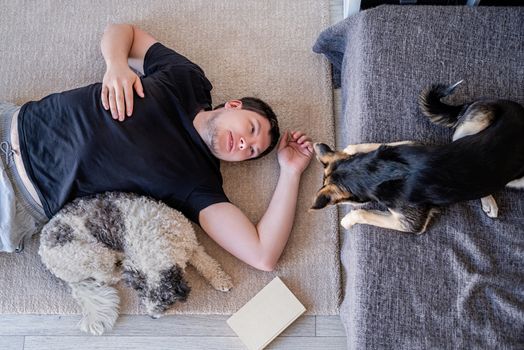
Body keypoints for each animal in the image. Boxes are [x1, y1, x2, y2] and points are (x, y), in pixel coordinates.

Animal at [37, 193, 232, 334]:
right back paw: (117, 272)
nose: (153, 316)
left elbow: (208, 264)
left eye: (165, 299)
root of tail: (44, 254)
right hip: (96, 255)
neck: (161, 239)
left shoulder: (192, 246)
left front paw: (222, 281)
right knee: (105, 277)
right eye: (142, 295)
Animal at [312, 82, 524, 234]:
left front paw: (348, 219)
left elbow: (364, 213)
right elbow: (370, 146)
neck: (375, 171)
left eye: (339, 203)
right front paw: (349, 149)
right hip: (469, 131)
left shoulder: (410, 222)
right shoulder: (408, 145)